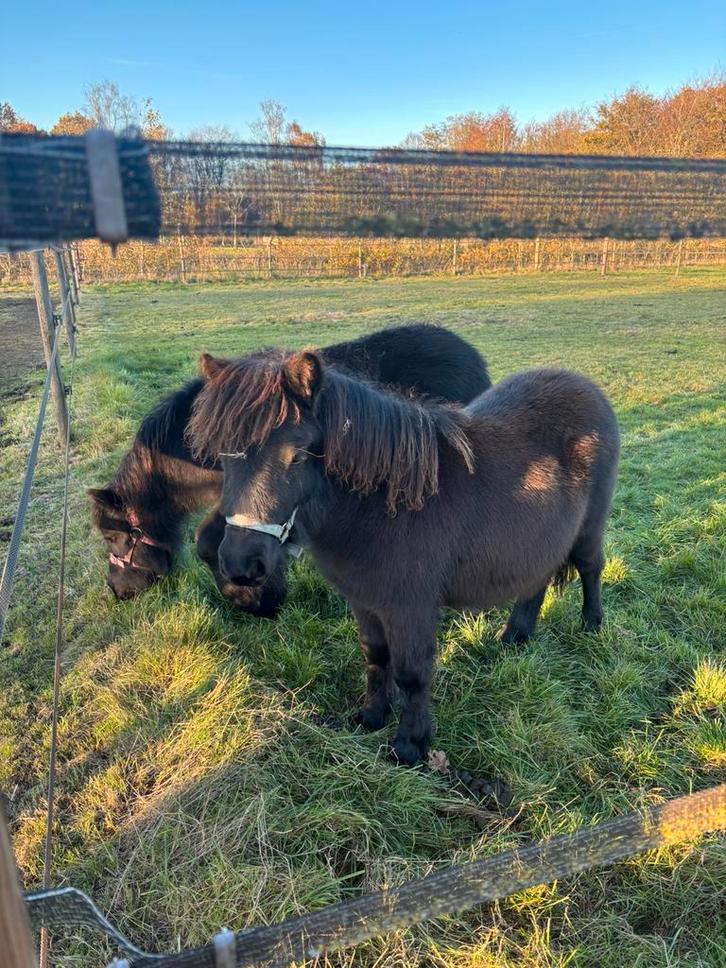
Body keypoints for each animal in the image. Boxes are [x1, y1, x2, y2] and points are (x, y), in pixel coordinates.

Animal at [188, 350, 619, 764]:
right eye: (222, 456)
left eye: (295, 455)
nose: (241, 565)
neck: (385, 506)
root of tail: (586, 387)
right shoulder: (365, 602)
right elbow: (376, 656)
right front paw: (371, 717)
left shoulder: (410, 607)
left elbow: (412, 673)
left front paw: (410, 746)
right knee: (537, 578)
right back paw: (515, 636)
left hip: (589, 530)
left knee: (590, 567)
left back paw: (591, 626)